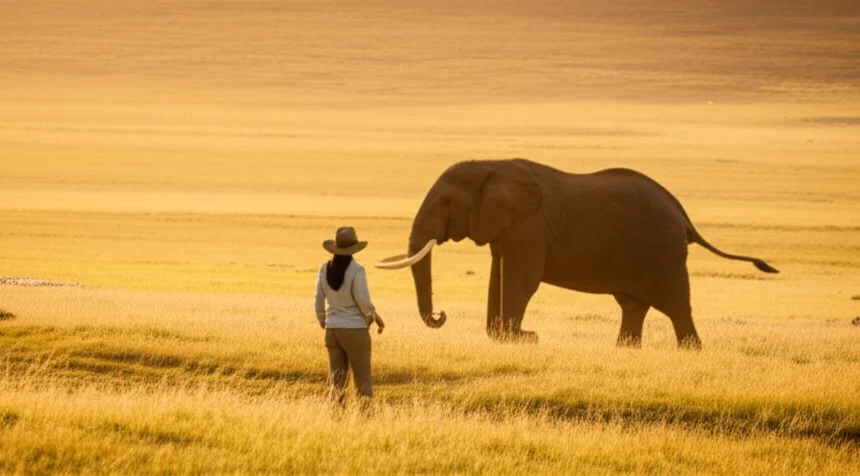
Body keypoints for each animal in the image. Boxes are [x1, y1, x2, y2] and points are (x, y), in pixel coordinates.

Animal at [375, 158, 778, 348]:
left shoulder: (528, 228)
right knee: (633, 305)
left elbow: (521, 280)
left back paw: (690, 351)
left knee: (676, 305)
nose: (440, 315)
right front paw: (511, 337)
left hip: (662, 251)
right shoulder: (508, 229)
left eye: (445, 202)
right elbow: (499, 273)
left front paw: (524, 338)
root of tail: (685, 217)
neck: (491, 164)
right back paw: (626, 351)